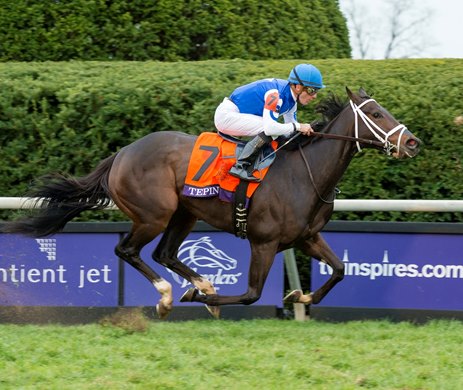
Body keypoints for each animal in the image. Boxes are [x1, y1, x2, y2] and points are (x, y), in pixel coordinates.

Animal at [2, 89, 424, 320]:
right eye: (375, 113)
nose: (412, 142)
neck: (305, 173)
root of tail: (121, 153)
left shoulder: (306, 237)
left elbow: (339, 270)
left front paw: (299, 296)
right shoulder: (264, 242)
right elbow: (252, 294)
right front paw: (203, 299)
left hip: (184, 214)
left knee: (164, 254)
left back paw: (199, 283)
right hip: (153, 214)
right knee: (128, 250)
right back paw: (169, 296)